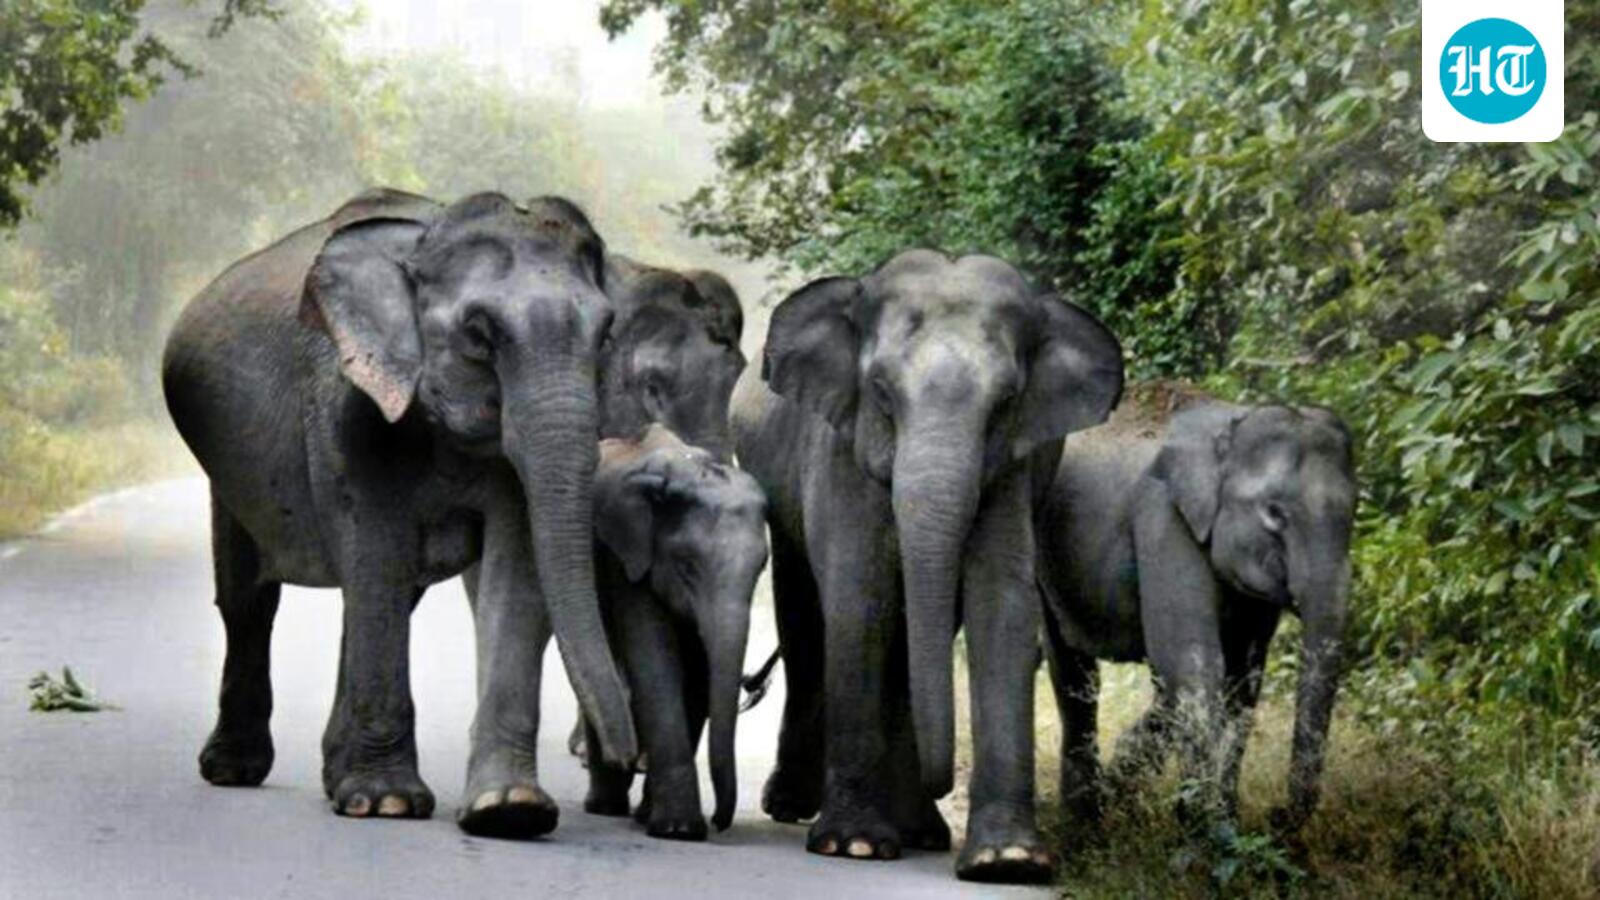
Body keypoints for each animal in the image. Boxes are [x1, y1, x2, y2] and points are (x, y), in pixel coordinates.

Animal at [161, 188, 637, 838]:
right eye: (479, 334)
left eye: (607, 332)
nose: (624, 759)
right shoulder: (345, 407)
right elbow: (376, 549)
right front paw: (387, 804)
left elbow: (515, 570)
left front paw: (509, 811)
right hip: (228, 470)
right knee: (250, 599)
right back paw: (234, 770)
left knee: (370, 598)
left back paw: (335, 776)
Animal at [577, 425, 769, 840]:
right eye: (687, 566)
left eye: (761, 569)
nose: (720, 822)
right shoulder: (629, 559)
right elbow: (656, 662)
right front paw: (677, 830)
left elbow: (697, 678)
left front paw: (655, 818)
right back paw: (604, 806)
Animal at [731, 249, 1124, 883]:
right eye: (881, 393)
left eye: (1006, 403)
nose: (946, 782)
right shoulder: (839, 448)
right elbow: (861, 600)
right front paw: (853, 846)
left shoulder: (1014, 468)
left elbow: (1000, 605)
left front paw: (1007, 862)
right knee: (805, 621)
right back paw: (794, 806)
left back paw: (920, 831)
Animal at [1035, 397, 1356, 835]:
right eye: (1274, 513)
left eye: (1356, 510)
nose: (1276, 814)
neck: (1230, 426)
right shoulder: (1164, 518)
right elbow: (1191, 660)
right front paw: (1210, 833)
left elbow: (1241, 677)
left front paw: (1212, 820)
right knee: (1073, 672)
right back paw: (1083, 823)